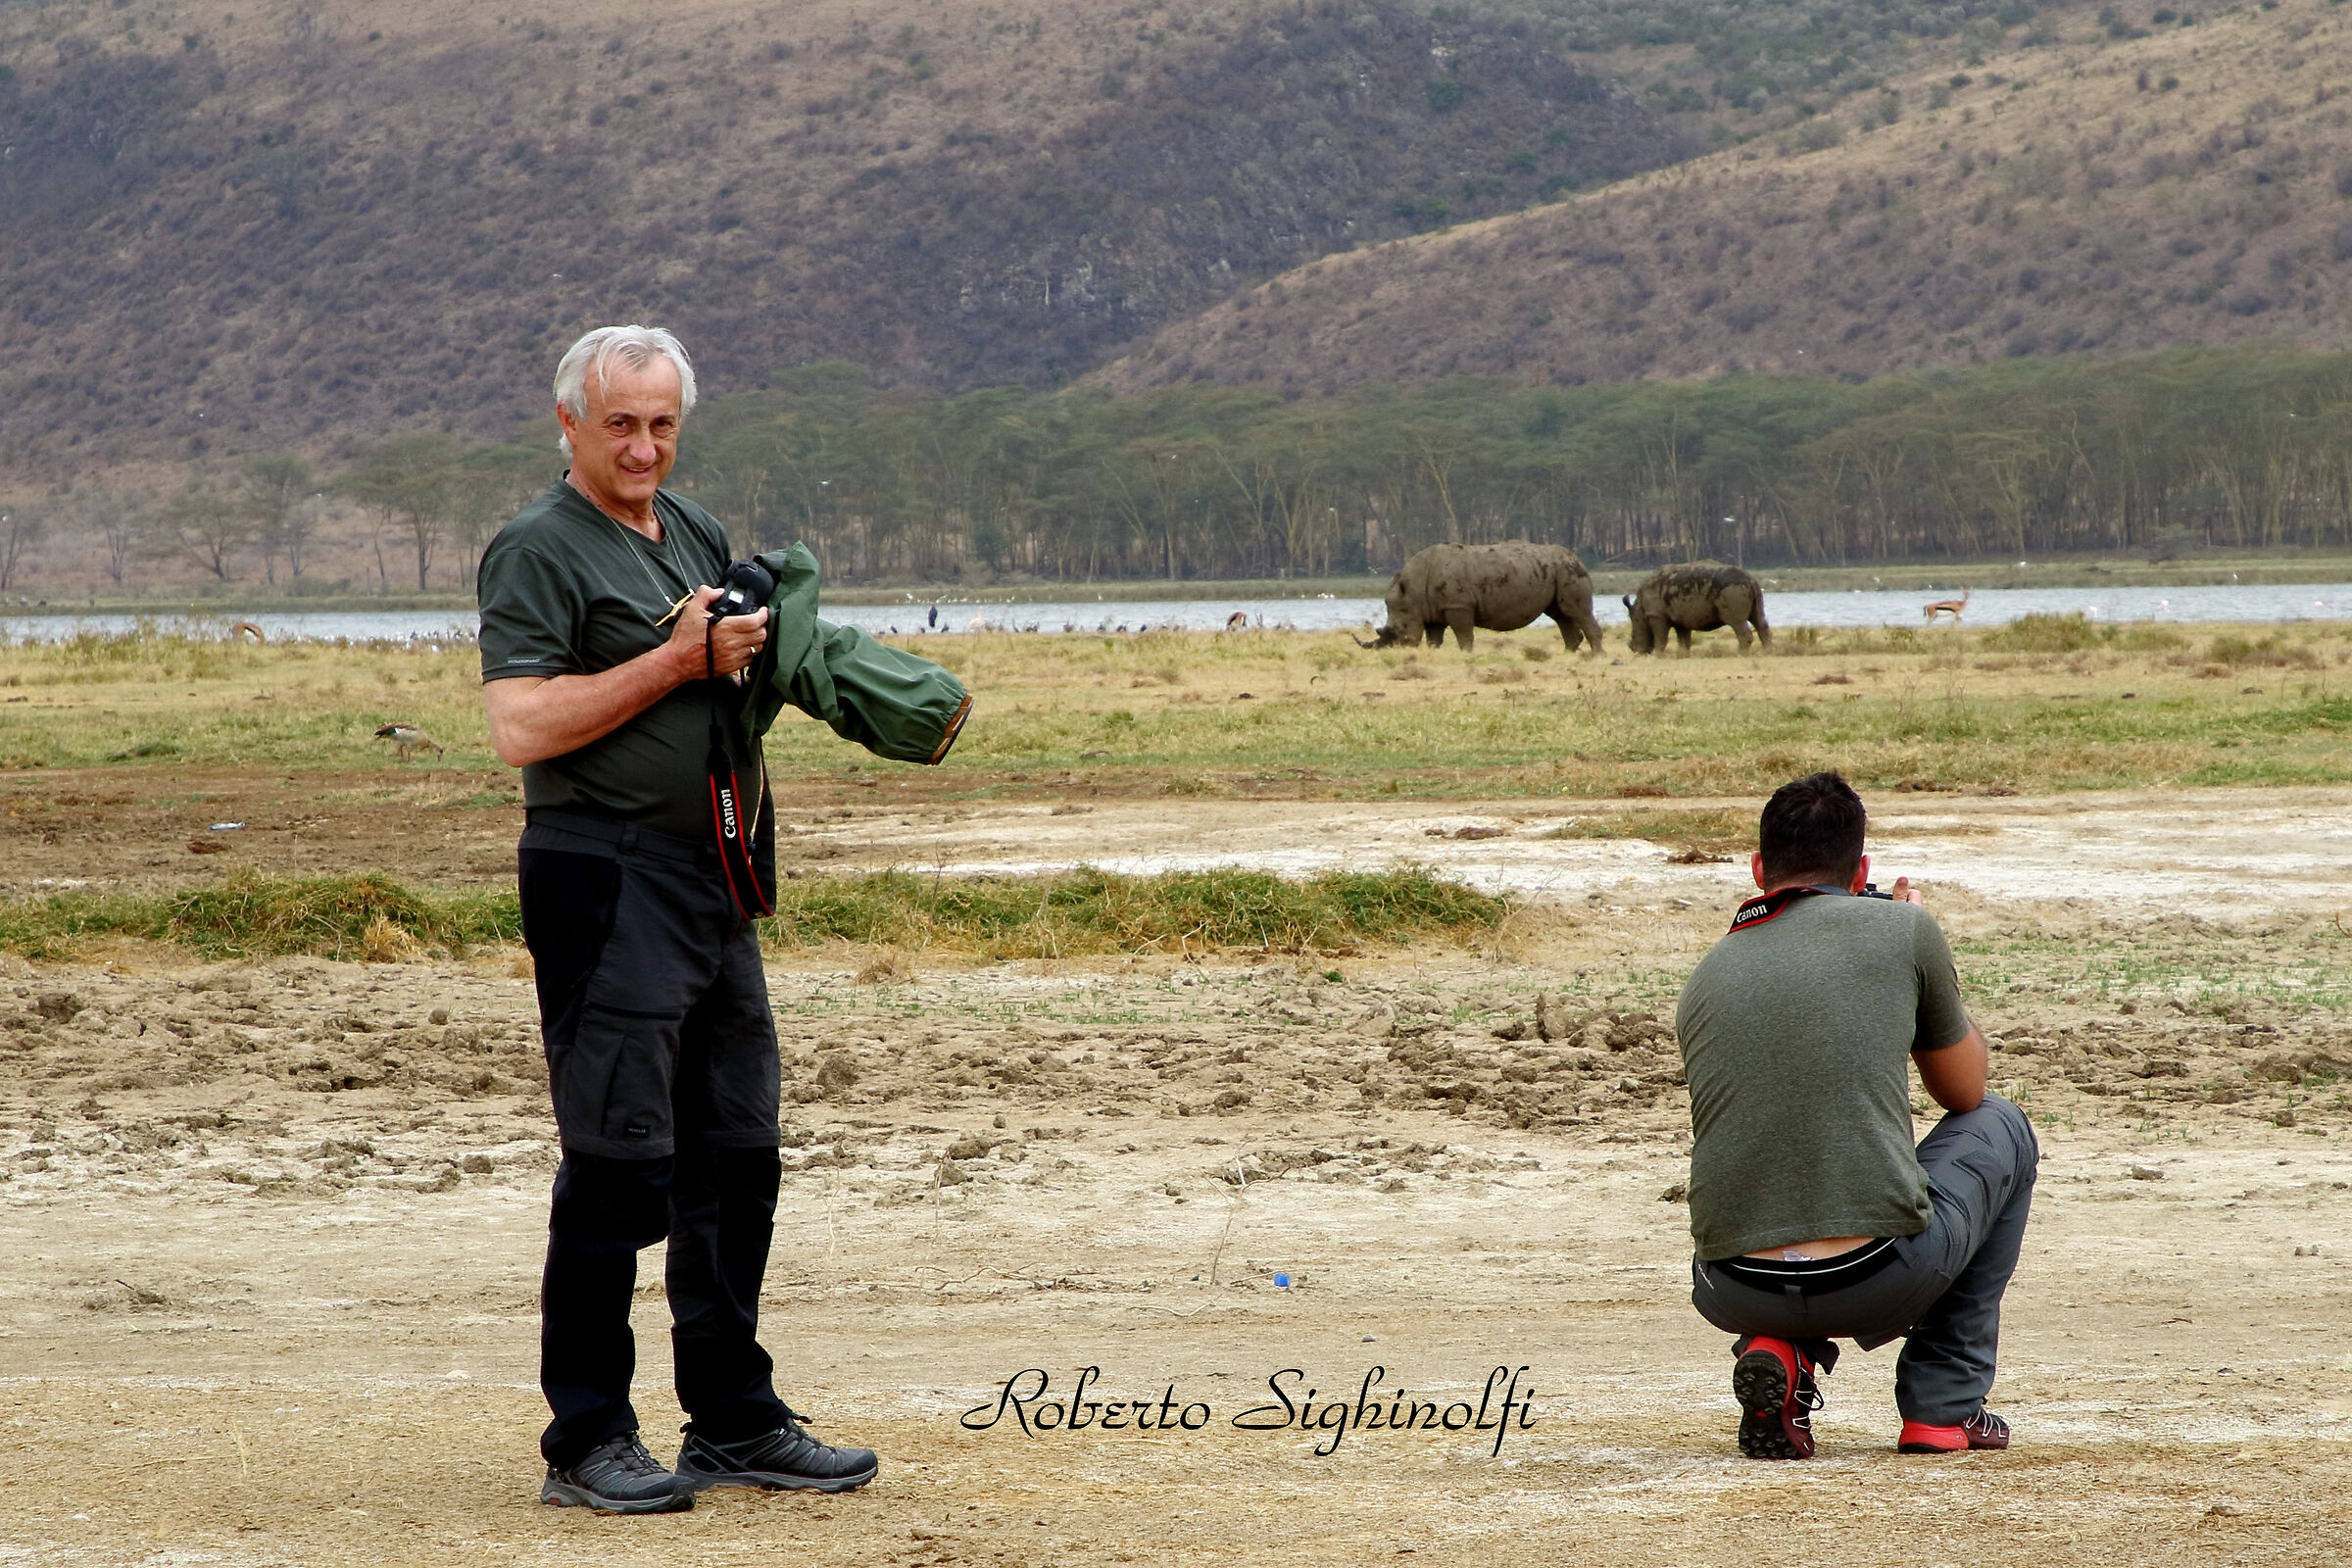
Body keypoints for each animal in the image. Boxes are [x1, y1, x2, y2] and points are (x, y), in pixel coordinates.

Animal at [1358, 541, 1605, 654]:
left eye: (1399, 632)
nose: (1395, 649)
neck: (1413, 589)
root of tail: (1576, 557)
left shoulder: (1458, 605)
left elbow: (1464, 634)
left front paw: (1466, 654)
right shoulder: (1434, 610)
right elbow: (1434, 638)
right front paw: (1433, 652)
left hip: (1567, 571)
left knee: (1577, 611)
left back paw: (1596, 656)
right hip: (1556, 572)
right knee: (1560, 615)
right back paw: (1568, 654)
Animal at [1623, 562, 1771, 654]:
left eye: (1635, 624)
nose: (1635, 650)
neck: (1639, 608)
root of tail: (1751, 580)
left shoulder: (1656, 615)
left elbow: (1661, 637)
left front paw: (1657, 654)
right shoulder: (1680, 617)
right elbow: (1683, 639)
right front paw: (1683, 654)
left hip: (1732, 589)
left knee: (1736, 622)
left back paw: (1740, 654)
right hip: (1752, 590)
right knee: (1759, 619)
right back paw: (1768, 651)